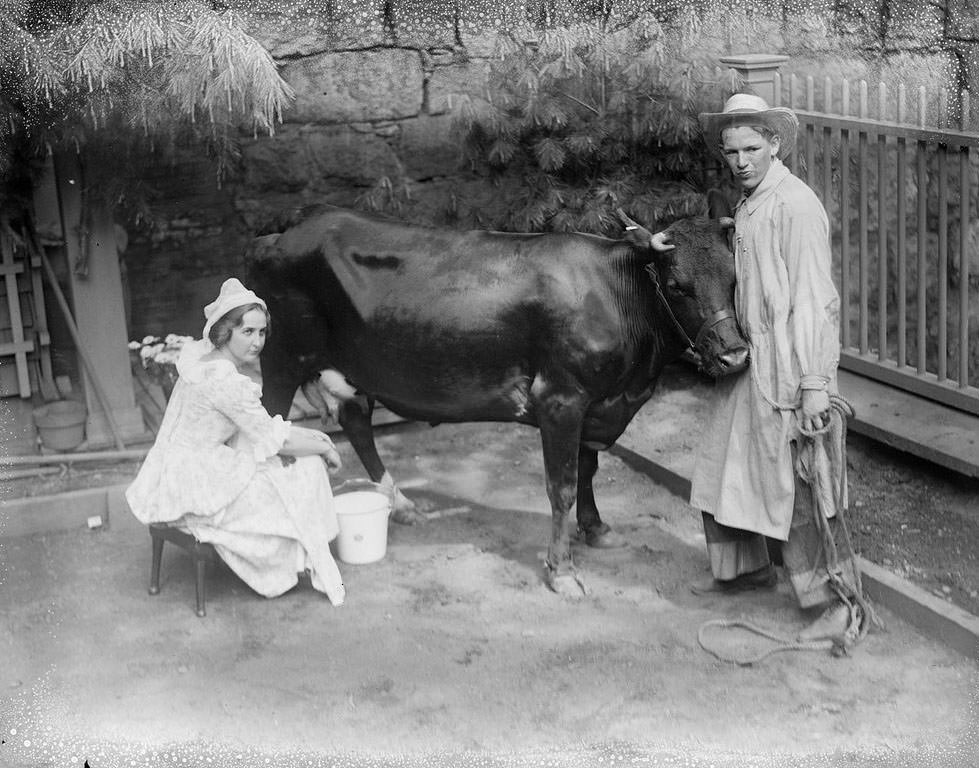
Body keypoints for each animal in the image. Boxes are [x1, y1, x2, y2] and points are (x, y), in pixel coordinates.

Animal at [247, 198, 752, 592]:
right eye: (676, 286)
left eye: (734, 278)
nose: (735, 355)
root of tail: (285, 231)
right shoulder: (561, 398)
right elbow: (561, 486)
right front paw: (561, 570)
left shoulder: (598, 403)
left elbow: (588, 469)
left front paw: (596, 529)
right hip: (280, 360)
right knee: (270, 427)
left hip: (352, 370)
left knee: (355, 423)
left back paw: (403, 505)